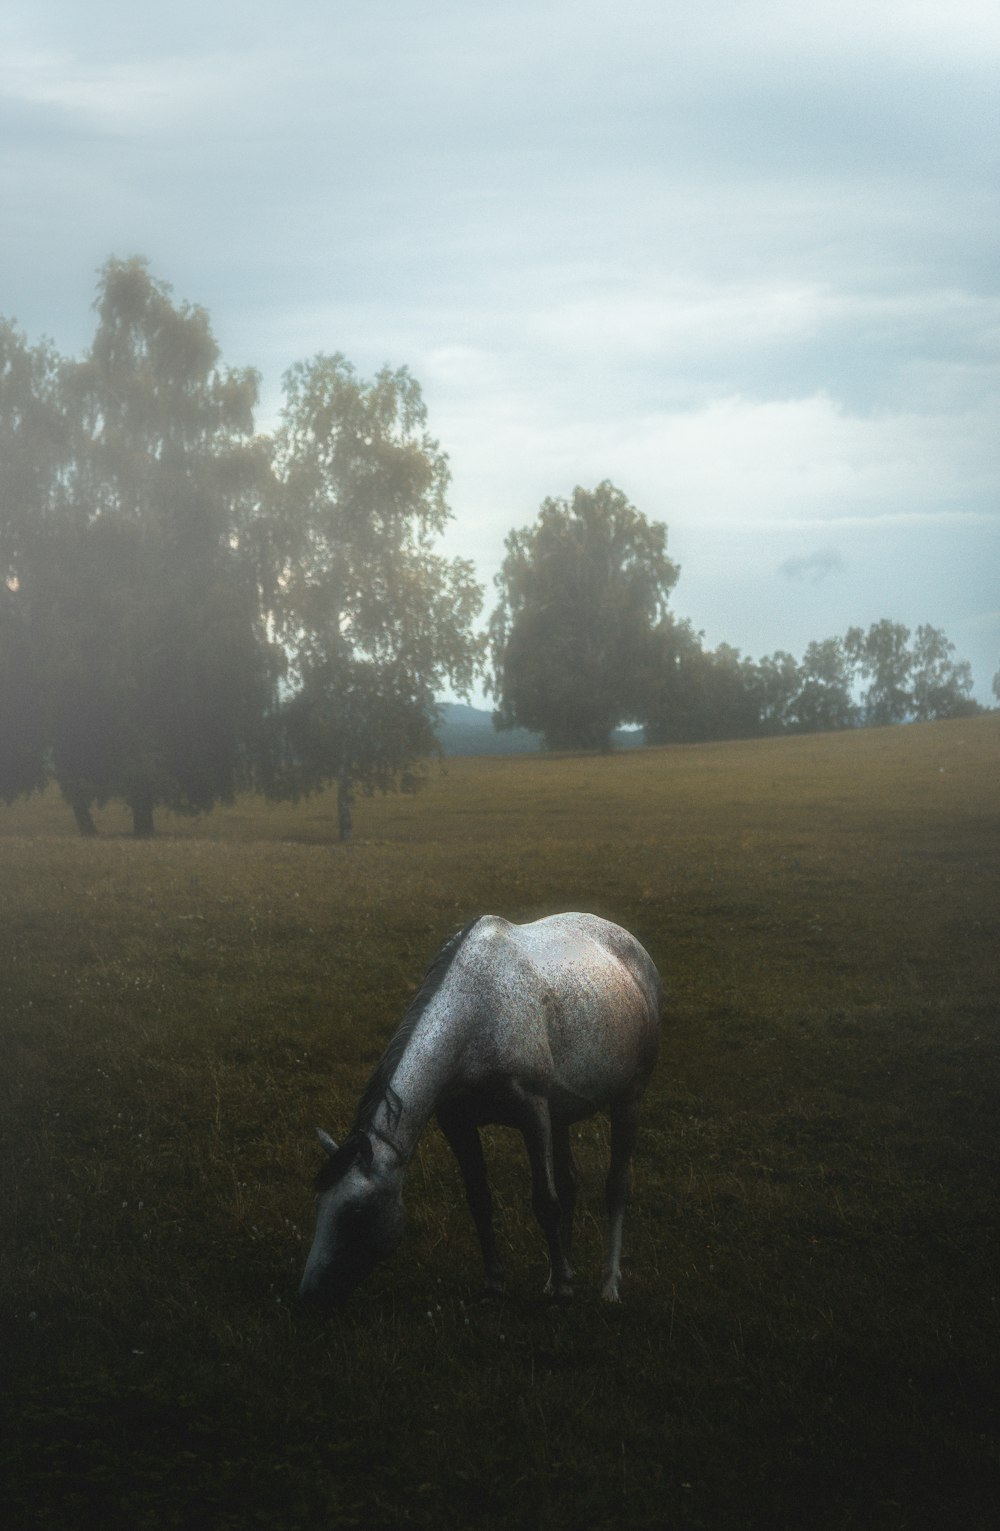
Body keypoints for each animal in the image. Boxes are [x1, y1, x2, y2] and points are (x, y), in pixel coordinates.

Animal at [297, 912, 661, 1310]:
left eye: (355, 1213)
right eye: (317, 1204)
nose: (309, 1295)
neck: (477, 1018)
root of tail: (629, 941)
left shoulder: (533, 1113)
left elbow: (545, 1203)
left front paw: (565, 1290)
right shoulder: (457, 1122)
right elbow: (480, 1200)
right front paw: (498, 1282)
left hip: (629, 1098)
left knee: (616, 1187)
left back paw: (608, 1285)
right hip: (562, 1114)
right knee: (569, 1183)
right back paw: (556, 1275)